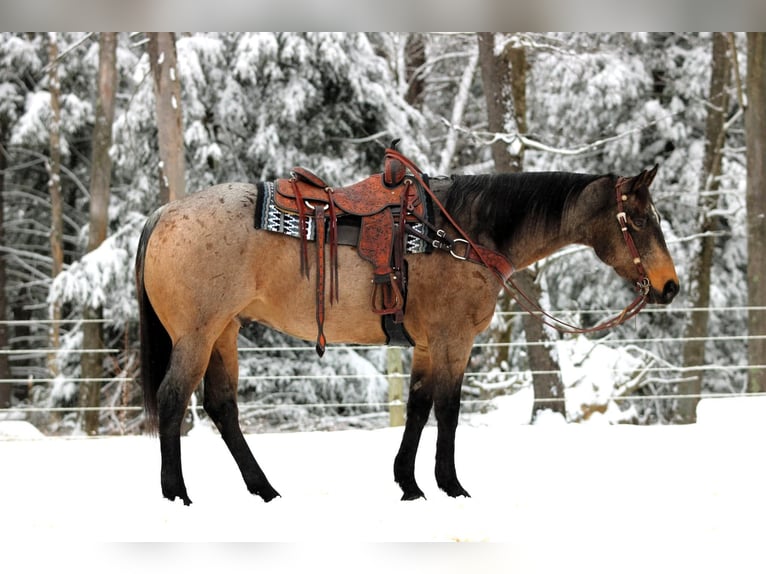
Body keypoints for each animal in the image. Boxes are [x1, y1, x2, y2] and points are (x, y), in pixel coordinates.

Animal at [135, 160, 679, 505]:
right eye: (640, 220)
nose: (669, 286)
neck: (461, 234)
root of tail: (165, 212)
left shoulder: (426, 345)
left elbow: (418, 408)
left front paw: (409, 484)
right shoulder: (453, 340)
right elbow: (448, 411)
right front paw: (451, 485)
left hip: (223, 333)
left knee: (222, 407)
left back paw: (264, 489)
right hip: (197, 335)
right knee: (172, 400)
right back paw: (177, 494)